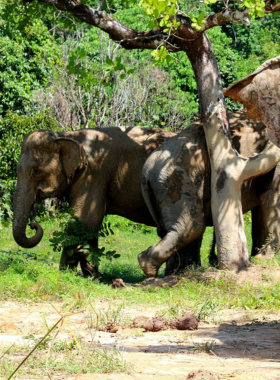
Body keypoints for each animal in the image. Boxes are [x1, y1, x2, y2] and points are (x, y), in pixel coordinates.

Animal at [13, 126, 176, 274]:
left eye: (36, 171)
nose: (32, 225)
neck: (67, 135)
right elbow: (89, 225)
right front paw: (91, 274)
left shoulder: (92, 174)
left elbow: (85, 220)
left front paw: (65, 272)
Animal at [138, 111, 280, 278]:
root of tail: (147, 169)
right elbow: (270, 199)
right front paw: (262, 259)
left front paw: (258, 258)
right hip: (176, 179)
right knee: (193, 226)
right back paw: (150, 266)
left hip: (160, 188)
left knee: (170, 230)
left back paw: (175, 272)